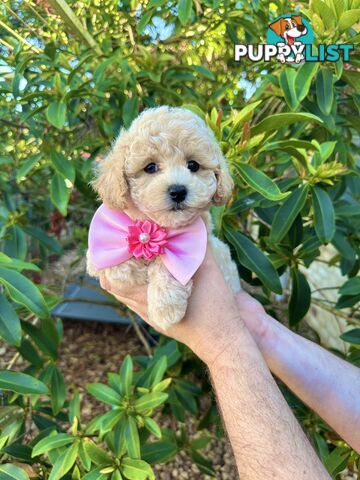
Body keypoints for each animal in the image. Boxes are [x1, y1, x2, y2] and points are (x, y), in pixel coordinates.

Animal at [86, 105, 240, 330]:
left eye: (193, 165)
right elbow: (106, 260)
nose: (178, 191)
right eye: (150, 167)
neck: (156, 224)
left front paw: (165, 308)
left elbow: (167, 265)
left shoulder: (202, 244)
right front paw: (126, 267)